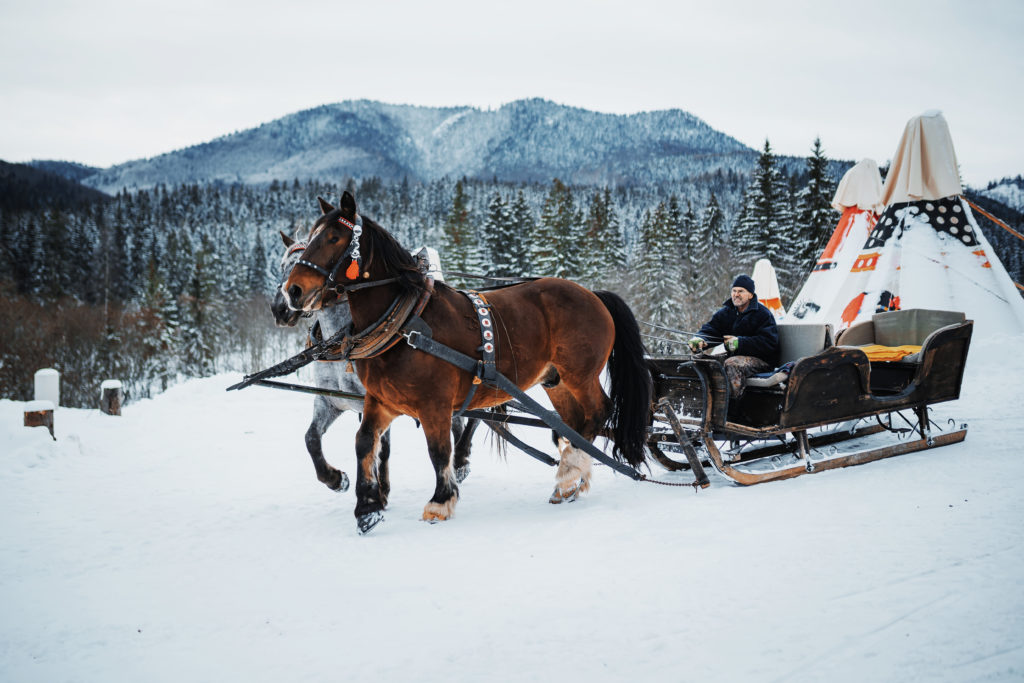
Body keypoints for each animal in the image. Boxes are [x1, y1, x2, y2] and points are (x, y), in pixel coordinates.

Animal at [272, 229, 479, 501]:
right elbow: (311, 439)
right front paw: (336, 479)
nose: (279, 308)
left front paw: (378, 492)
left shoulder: (377, 400)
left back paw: (462, 460)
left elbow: (382, 448)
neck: (344, 345)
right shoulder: (329, 400)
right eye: (282, 266)